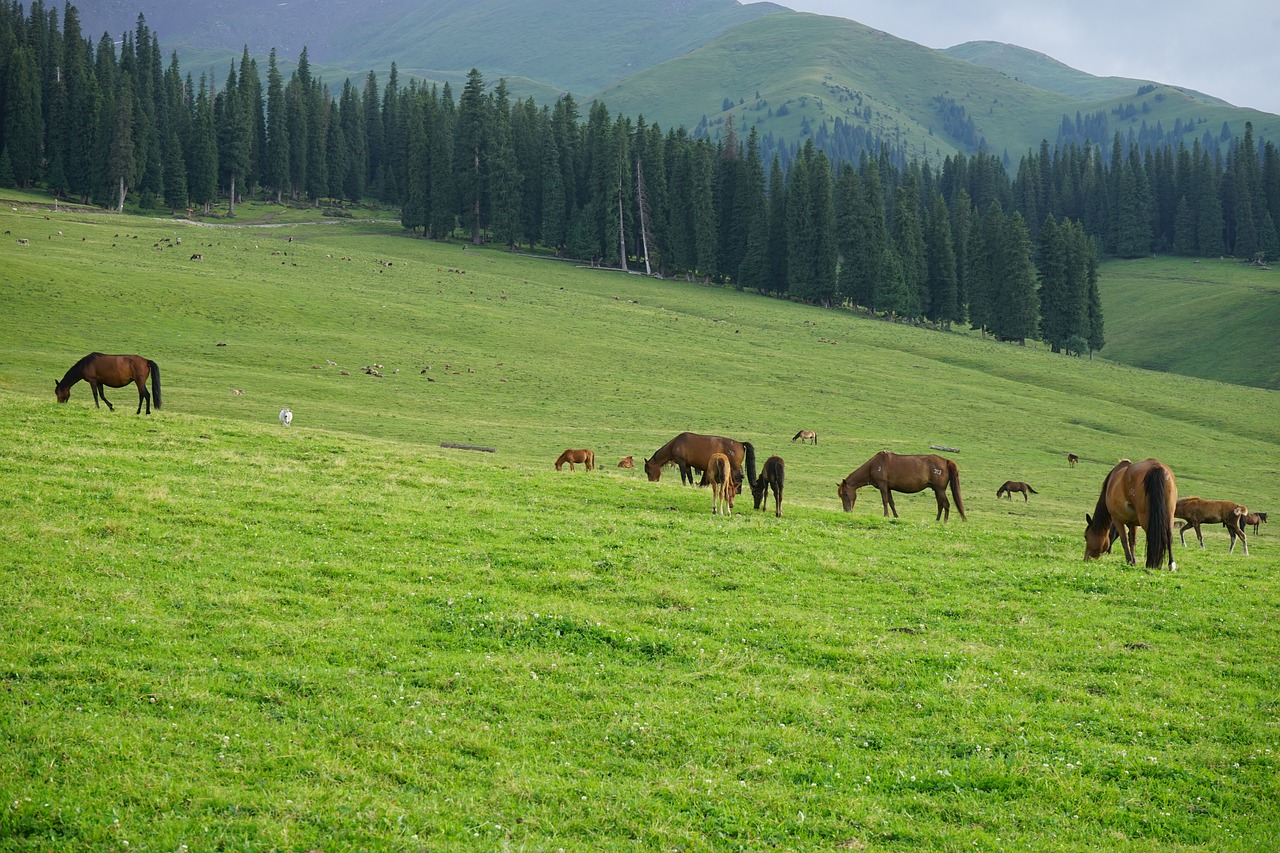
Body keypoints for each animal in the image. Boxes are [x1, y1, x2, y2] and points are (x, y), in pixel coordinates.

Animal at [834, 448, 962, 522]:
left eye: (846, 494)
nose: (847, 511)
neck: (874, 465)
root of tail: (946, 461)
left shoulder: (882, 485)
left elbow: (885, 501)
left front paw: (886, 516)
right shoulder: (888, 487)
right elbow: (891, 502)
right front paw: (896, 516)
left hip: (940, 489)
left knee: (946, 504)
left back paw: (945, 522)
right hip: (936, 490)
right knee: (940, 504)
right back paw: (937, 520)